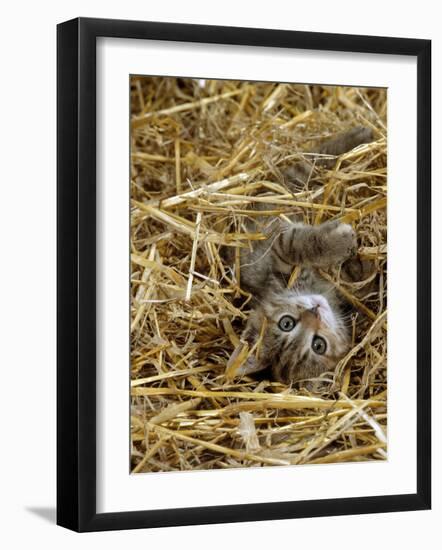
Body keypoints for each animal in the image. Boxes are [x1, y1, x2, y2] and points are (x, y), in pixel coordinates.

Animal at [231, 128, 372, 390]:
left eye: (286, 323)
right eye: (318, 345)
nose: (314, 312)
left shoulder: (278, 255)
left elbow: (293, 244)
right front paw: (346, 246)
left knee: (312, 162)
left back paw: (358, 136)